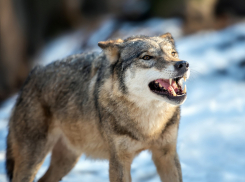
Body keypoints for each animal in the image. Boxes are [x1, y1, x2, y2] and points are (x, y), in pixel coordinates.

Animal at [5, 33, 189, 182]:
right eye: (147, 57)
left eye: (173, 53)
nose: (183, 64)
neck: (149, 126)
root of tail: (31, 76)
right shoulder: (118, 161)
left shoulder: (166, 155)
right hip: (33, 160)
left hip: (67, 160)